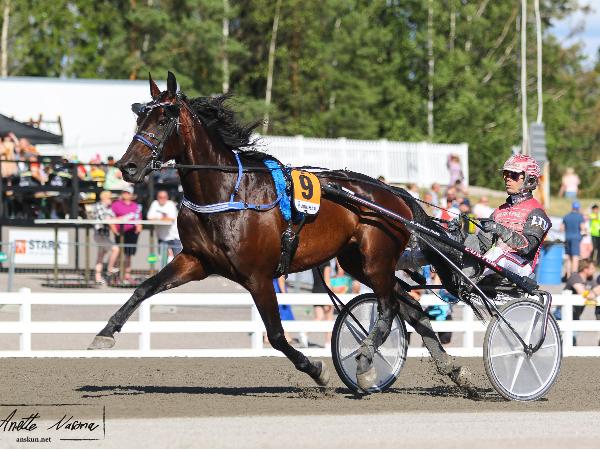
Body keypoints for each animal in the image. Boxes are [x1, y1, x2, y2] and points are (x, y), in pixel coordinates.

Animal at [88, 71, 475, 394]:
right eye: (140, 116)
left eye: (164, 118)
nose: (128, 166)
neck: (228, 192)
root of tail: (394, 192)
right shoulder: (195, 261)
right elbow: (144, 288)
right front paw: (105, 334)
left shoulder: (258, 276)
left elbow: (275, 334)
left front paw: (317, 370)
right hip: (356, 262)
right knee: (411, 306)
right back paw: (452, 369)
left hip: (376, 258)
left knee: (388, 307)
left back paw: (366, 362)